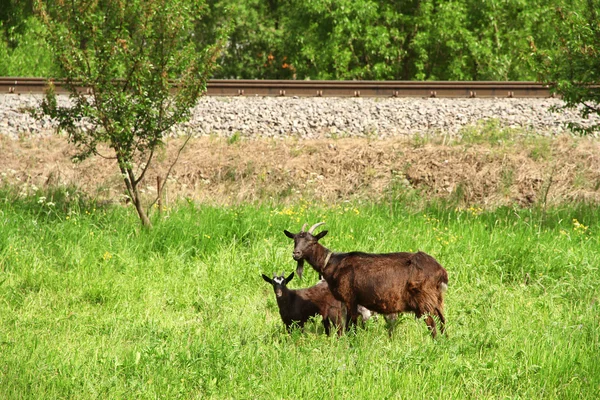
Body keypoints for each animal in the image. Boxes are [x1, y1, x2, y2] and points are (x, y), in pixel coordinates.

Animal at [284, 222, 448, 338]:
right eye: (295, 240)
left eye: (312, 242)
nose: (296, 254)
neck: (334, 264)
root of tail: (441, 272)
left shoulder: (350, 298)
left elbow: (351, 324)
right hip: (437, 300)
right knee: (442, 322)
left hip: (424, 301)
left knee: (432, 325)